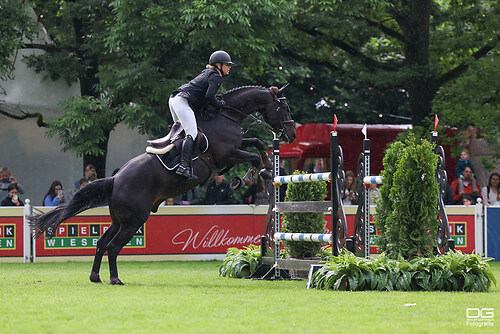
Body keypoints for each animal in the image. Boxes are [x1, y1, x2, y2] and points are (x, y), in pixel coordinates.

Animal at [31, 84, 294, 284]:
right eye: (283, 107)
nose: (291, 134)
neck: (224, 115)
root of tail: (115, 179)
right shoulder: (227, 154)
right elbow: (252, 154)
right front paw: (256, 173)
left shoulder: (236, 147)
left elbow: (257, 142)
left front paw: (264, 168)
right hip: (135, 220)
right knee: (113, 247)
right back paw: (115, 279)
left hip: (120, 220)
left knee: (102, 243)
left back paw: (96, 277)